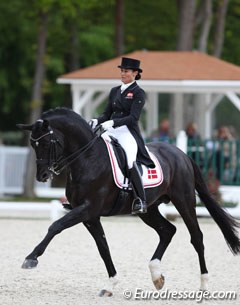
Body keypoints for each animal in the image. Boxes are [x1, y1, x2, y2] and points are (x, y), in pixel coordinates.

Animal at [17, 107, 240, 294]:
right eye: (33, 144)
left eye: (47, 143)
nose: (43, 176)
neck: (88, 158)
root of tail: (181, 154)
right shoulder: (90, 216)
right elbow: (103, 247)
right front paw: (111, 285)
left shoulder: (87, 209)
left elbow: (56, 226)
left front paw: (31, 258)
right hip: (149, 210)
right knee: (167, 231)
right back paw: (156, 276)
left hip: (184, 202)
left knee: (197, 238)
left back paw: (203, 285)